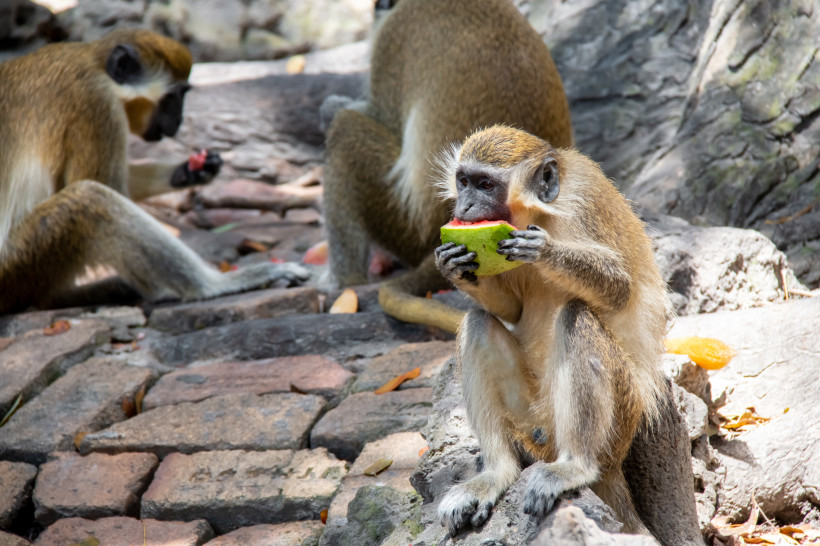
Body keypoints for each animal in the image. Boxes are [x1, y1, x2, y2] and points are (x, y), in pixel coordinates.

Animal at [0, 28, 308, 315]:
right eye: (174, 96)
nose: (178, 121)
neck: (92, 60)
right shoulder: (96, 102)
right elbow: (108, 188)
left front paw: (187, 171)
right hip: (16, 266)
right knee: (90, 199)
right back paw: (213, 286)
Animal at [321, 0, 572, 333]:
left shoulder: (394, 35)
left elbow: (378, 115)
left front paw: (330, 107)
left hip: (407, 226)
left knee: (345, 129)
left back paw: (346, 281)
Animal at [433, 126, 676, 536]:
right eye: (463, 182)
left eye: (485, 185)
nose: (463, 208)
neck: (540, 212)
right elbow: (509, 309)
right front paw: (452, 266)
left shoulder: (583, 200)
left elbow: (620, 288)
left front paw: (544, 252)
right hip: (533, 422)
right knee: (478, 322)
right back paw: (497, 473)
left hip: (618, 421)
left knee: (576, 316)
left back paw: (575, 466)